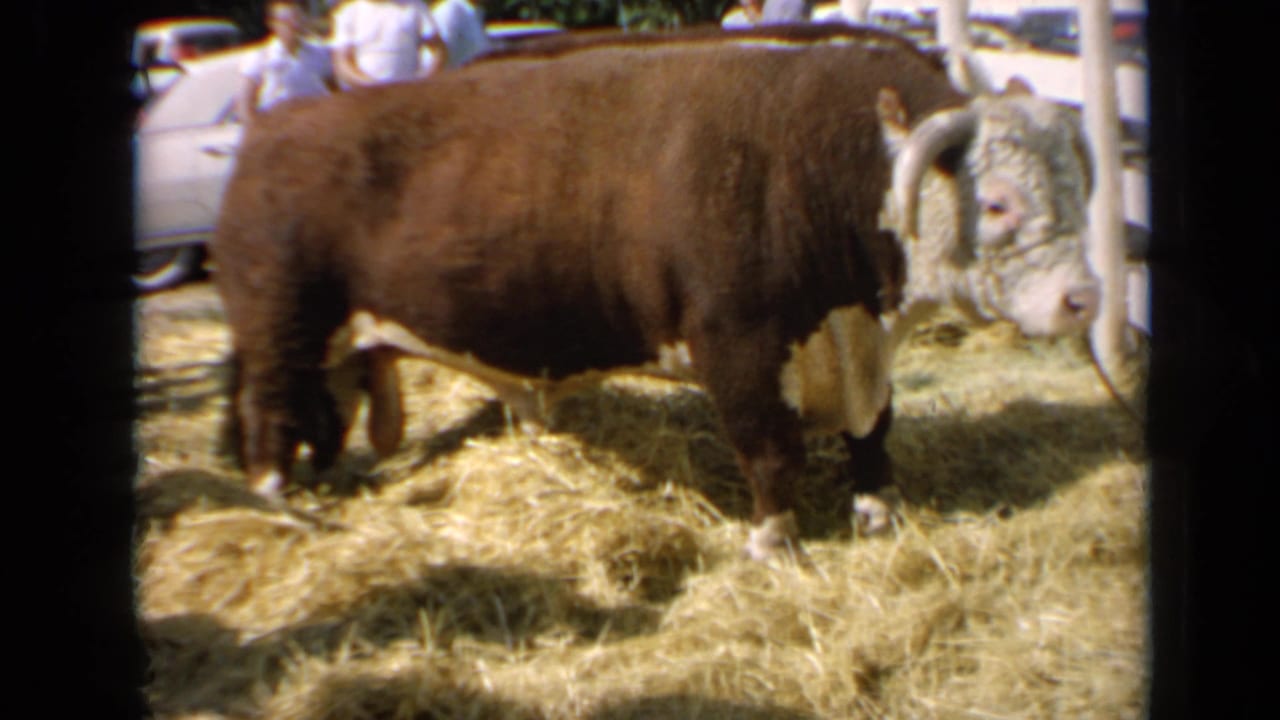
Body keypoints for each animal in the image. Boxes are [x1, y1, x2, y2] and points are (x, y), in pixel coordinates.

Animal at [212, 24, 1099, 560]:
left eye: (1079, 187)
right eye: (998, 203)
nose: (1084, 299)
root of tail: (274, 130)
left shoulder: (859, 350)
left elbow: (874, 435)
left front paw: (877, 513)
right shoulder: (739, 345)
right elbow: (770, 452)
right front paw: (772, 544)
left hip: (328, 346)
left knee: (318, 415)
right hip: (277, 330)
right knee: (266, 413)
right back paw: (281, 504)